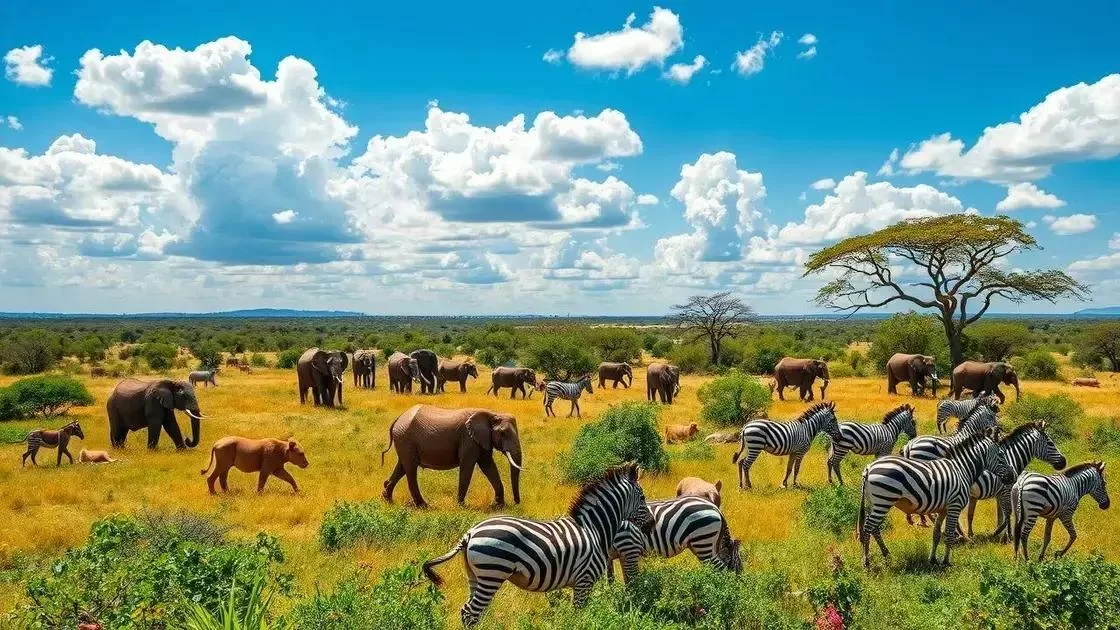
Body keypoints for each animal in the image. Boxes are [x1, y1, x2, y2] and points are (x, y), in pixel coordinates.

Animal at [380, 405, 523, 508]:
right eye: (503, 433)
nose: (516, 503)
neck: (492, 413)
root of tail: (398, 418)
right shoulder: (468, 439)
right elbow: (467, 466)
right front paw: (461, 506)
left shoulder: (481, 440)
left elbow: (488, 466)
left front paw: (498, 506)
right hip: (406, 438)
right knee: (410, 468)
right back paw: (423, 506)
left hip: (404, 440)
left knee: (402, 467)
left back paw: (387, 500)